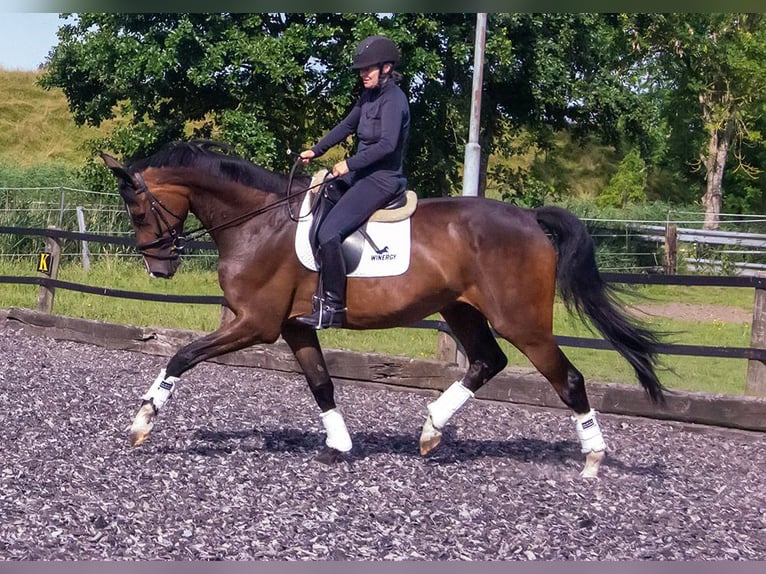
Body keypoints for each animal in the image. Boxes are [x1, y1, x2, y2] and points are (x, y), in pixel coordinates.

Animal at [102, 142, 664, 480]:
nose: (159, 269)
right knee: (487, 362)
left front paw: (142, 422)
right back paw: (432, 429)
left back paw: (591, 460)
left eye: (138, 209)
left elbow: (182, 356)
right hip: (460, 310)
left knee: (567, 379)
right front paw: (339, 445)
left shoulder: (255, 324)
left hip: (521, 321)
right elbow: (322, 384)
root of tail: (529, 219)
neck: (259, 223)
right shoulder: (293, 326)